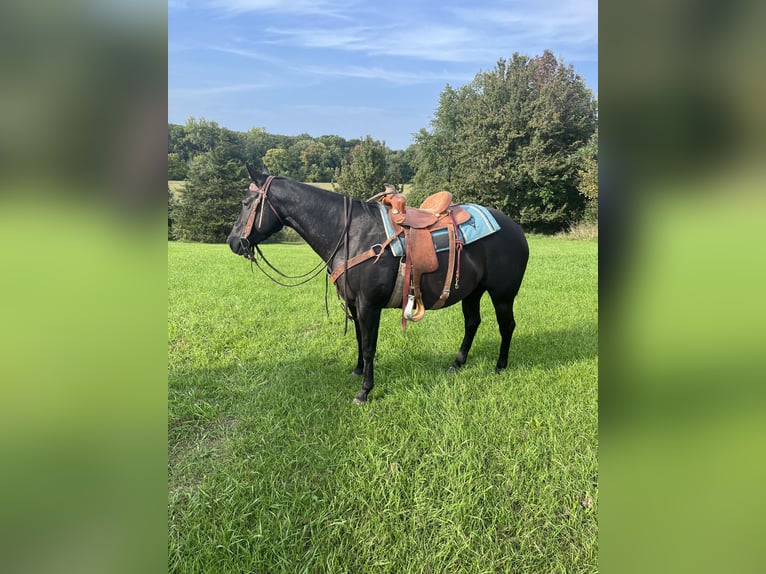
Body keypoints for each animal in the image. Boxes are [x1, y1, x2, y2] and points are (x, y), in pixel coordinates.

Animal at [226, 166, 528, 404]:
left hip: (502, 294)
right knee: (472, 322)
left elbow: (370, 346)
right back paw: (457, 362)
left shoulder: (369, 305)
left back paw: (500, 366)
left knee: (507, 326)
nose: (233, 242)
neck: (350, 234)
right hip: (473, 292)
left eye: (245, 202)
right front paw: (358, 370)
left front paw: (364, 392)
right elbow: (360, 340)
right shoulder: (354, 304)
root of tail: (516, 229)